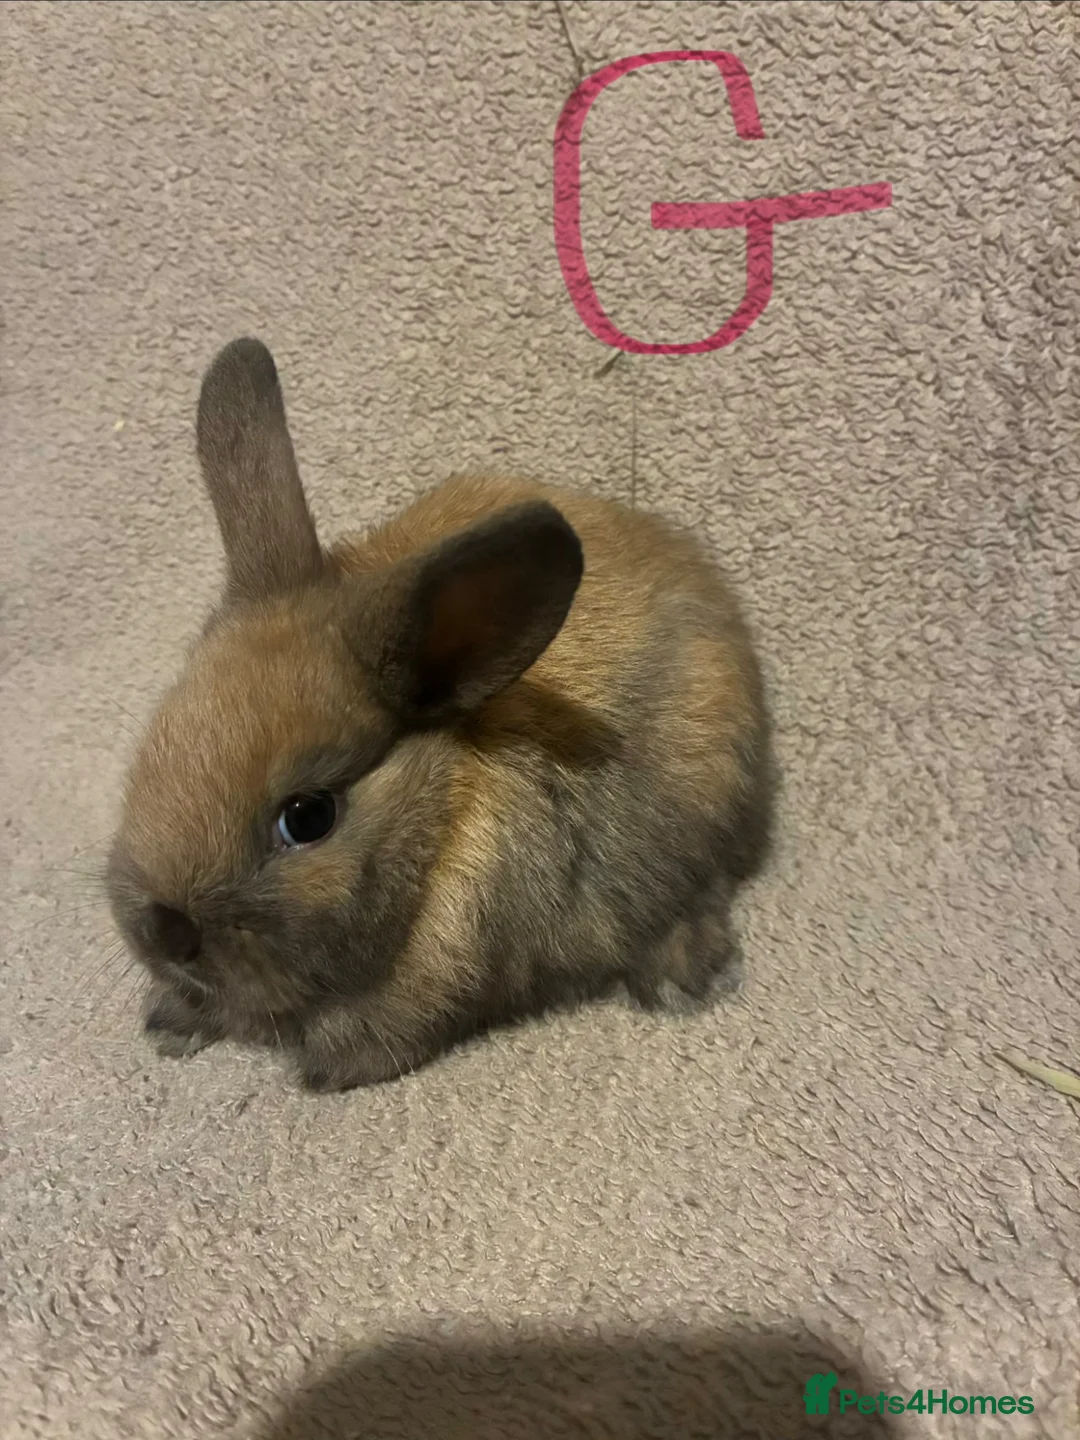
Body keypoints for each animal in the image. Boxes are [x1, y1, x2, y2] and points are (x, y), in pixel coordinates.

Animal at [106, 337, 771, 1091]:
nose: (164, 933)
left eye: (307, 817)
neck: (444, 807)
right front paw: (170, 1023)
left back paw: (686, 978)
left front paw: (320, 1071)